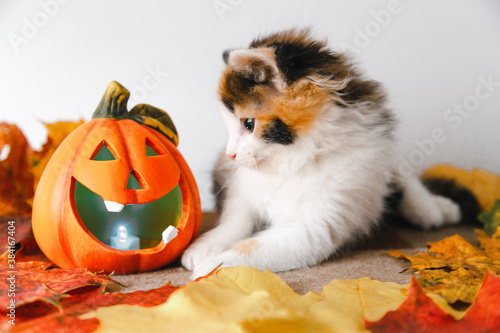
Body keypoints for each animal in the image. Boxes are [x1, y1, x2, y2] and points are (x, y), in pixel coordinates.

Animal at [183, 28, 464, 278]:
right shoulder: (244, 191)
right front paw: (203, 247)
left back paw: (438, 209)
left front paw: (214, 266)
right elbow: (235, 222)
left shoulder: (316, 224)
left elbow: (255, 247)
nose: (230, 154)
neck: (294, 160)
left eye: (248, 124)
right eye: (230, 127)